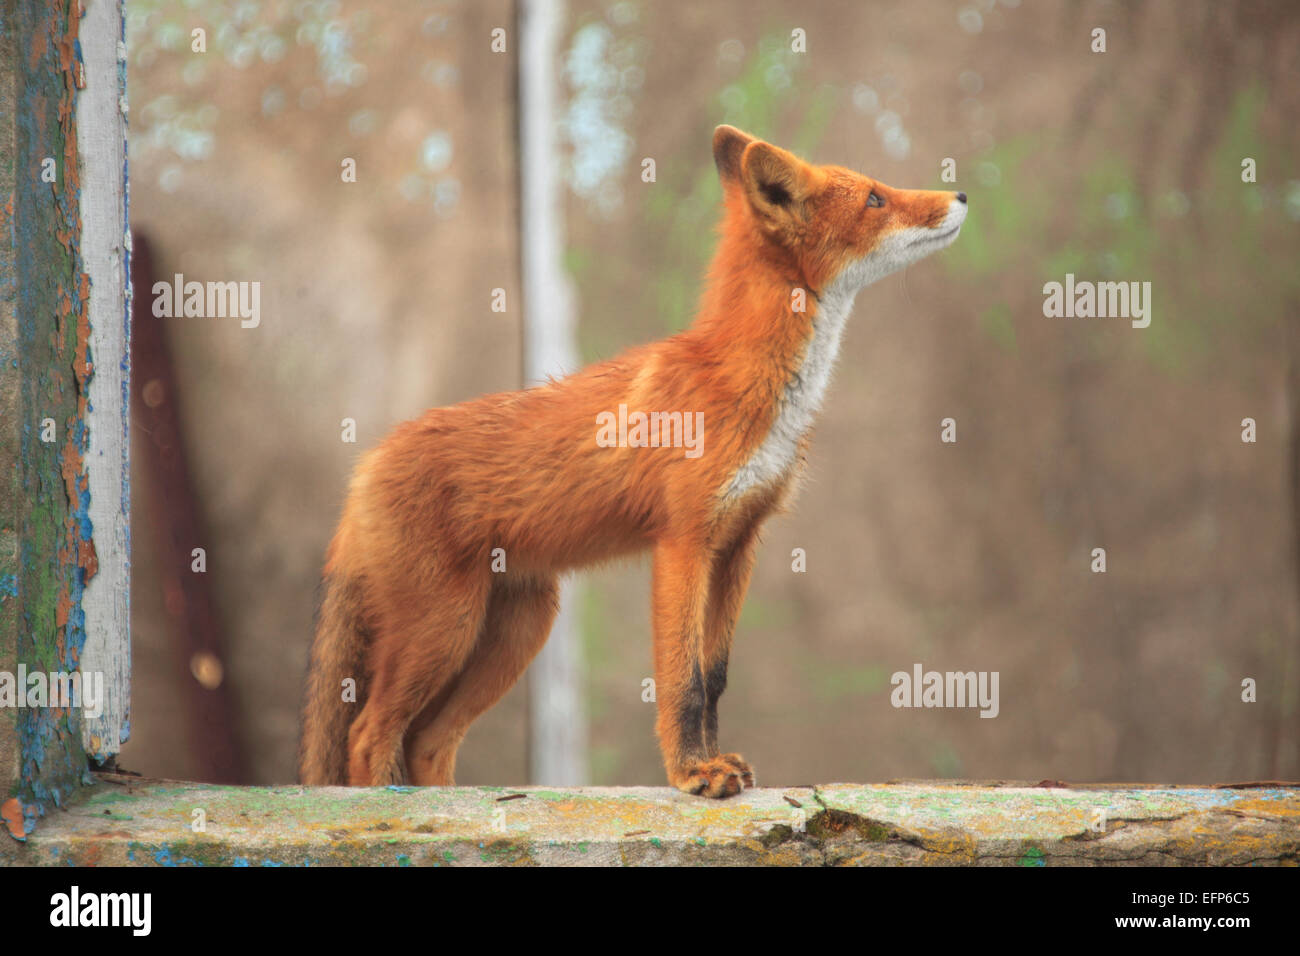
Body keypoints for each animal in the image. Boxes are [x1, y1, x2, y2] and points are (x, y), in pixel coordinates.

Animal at [297, 128, 967, 801]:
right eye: (876, 199)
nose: (960, 195)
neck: (744, 383)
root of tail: (366, 463)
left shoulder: (739, 544)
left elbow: (715, 678)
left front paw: (713, 760)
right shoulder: (683, 542)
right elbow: (683, 680)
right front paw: (693, 773)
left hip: (516, 631)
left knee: (427, 741)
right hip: (445, 626)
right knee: (368, 734)